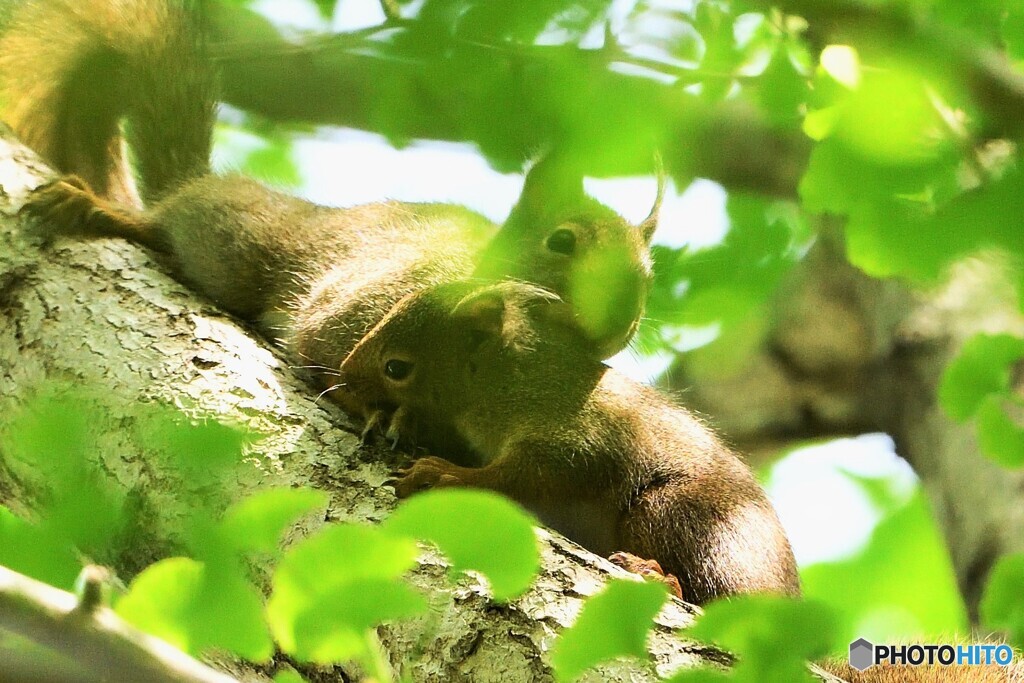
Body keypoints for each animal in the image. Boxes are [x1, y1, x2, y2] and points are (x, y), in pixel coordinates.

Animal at [0, 0, 659, 432]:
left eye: (649, 276)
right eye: (561, 241)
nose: (620, 319)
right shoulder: (381, 294)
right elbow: (325, 348)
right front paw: (374, 410)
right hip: (237, 239)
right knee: (172, 223)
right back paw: (102, 210)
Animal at [339, 278, 802, 602]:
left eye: (396, 367)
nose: (343, 375)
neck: (503, 383)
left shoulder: (579, 439)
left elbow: (524, 478)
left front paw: (441, 474)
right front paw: (402, 421)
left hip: (681, 517)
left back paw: (655, 576)